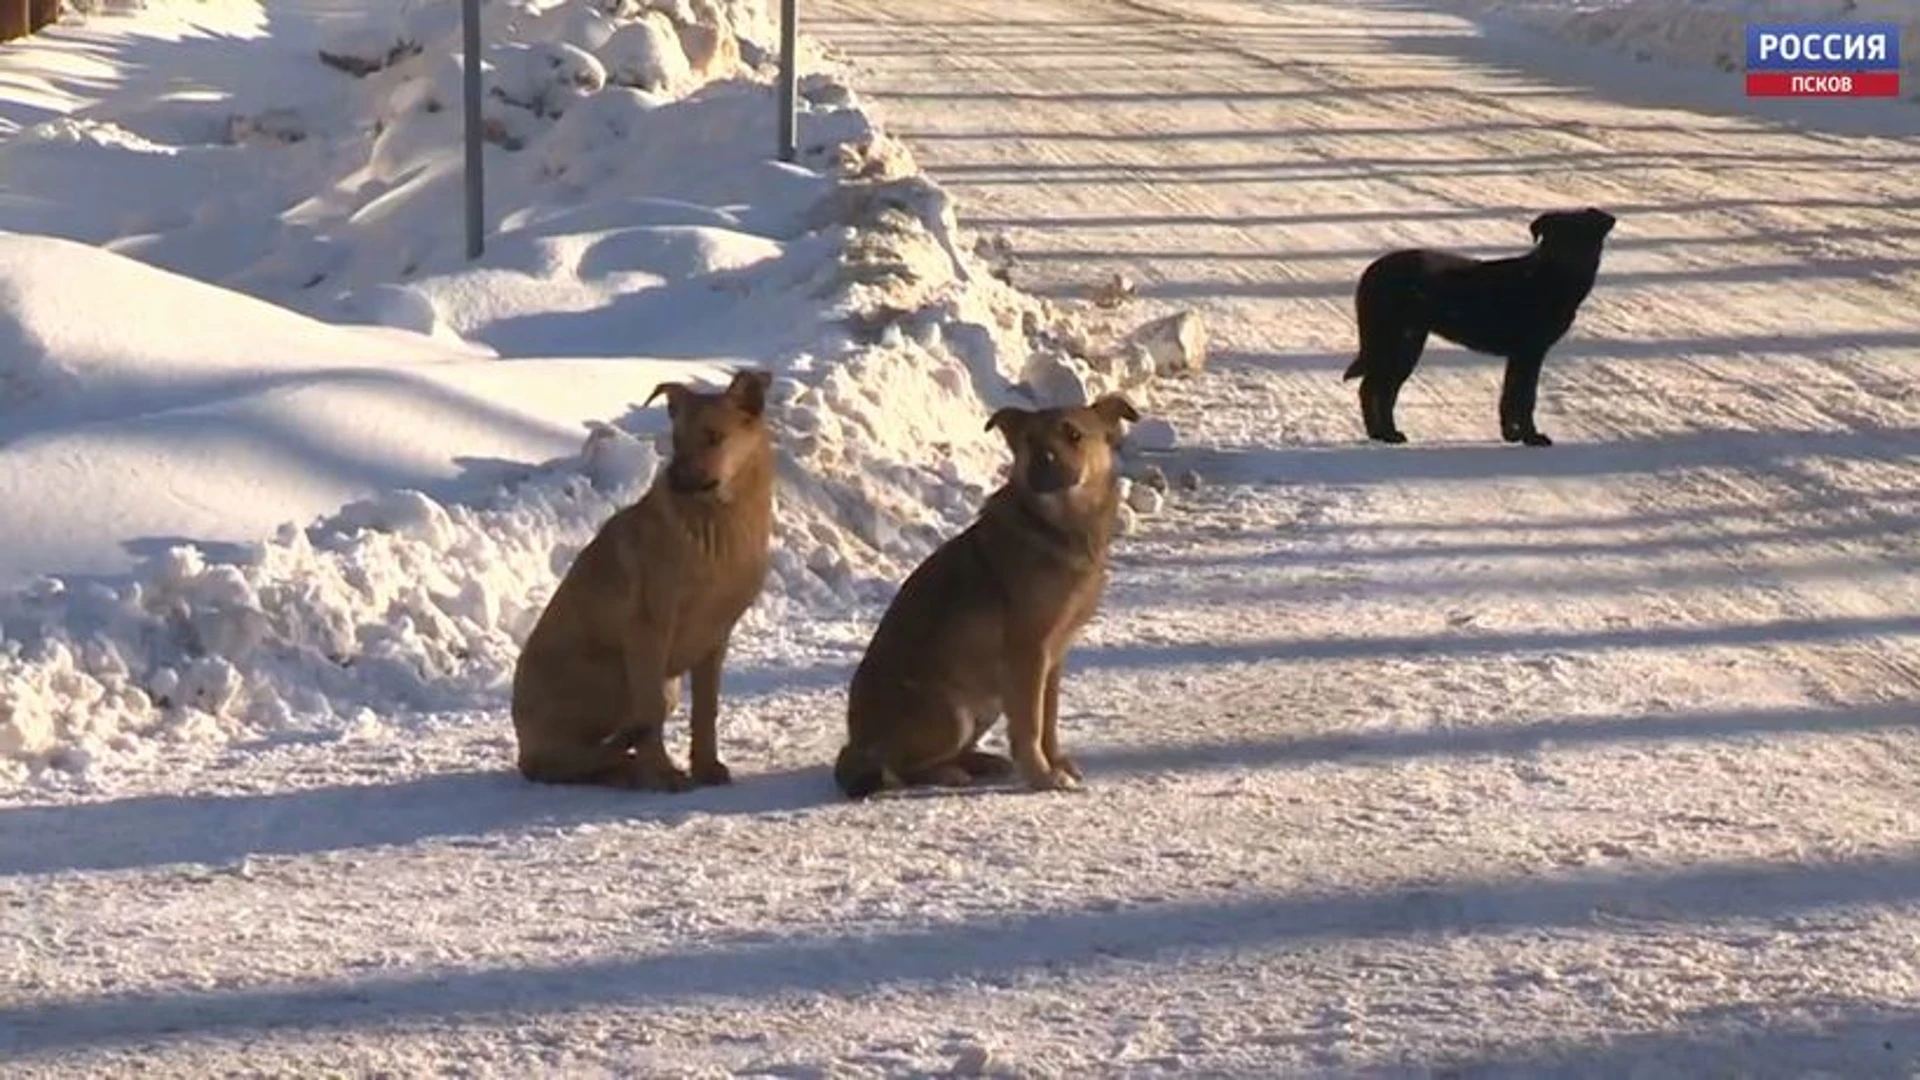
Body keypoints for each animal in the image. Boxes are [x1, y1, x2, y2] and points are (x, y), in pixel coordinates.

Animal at [518, 365, 779, 787]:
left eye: (713, 436)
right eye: (676, 438)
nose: (672, 477)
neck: (716, 523)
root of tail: (524, 743)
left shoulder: (716, 637)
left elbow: (706, 710)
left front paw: (707, 766)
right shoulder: (648, 628)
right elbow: (651, 711)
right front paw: (664, 773)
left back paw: (623, 768)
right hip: (612, 671)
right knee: (566, 758)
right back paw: (627, 768)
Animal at [829, 390, 1136, 795]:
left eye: (1073, 435)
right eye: (1029, 440)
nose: (1044, 461)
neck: (1058, 525)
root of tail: (855, 746)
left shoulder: (1053, 658)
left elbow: (1049, 720)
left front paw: (1055, 763)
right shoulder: (1028, 653)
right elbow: (1031, 724)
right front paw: (1042, 775)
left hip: (986, 705)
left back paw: (982, 762)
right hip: (951, 710)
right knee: (899, 768)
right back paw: (948, 773)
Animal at [1344, 205, 1612, 445]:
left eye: (1585, 238)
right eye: (1558, 239)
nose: (1574, 261)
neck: (1547, 278)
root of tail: (1372, 270)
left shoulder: (1518, 356)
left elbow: (1509, 398)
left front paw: (1511, 435)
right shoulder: (1530, 353)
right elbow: (1526, 399)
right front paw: (1531, 437)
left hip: (1405, 343)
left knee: (1377, 388)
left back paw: (1379, 433)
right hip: (1397, 342)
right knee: (1375, 387)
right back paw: (1387, 434)